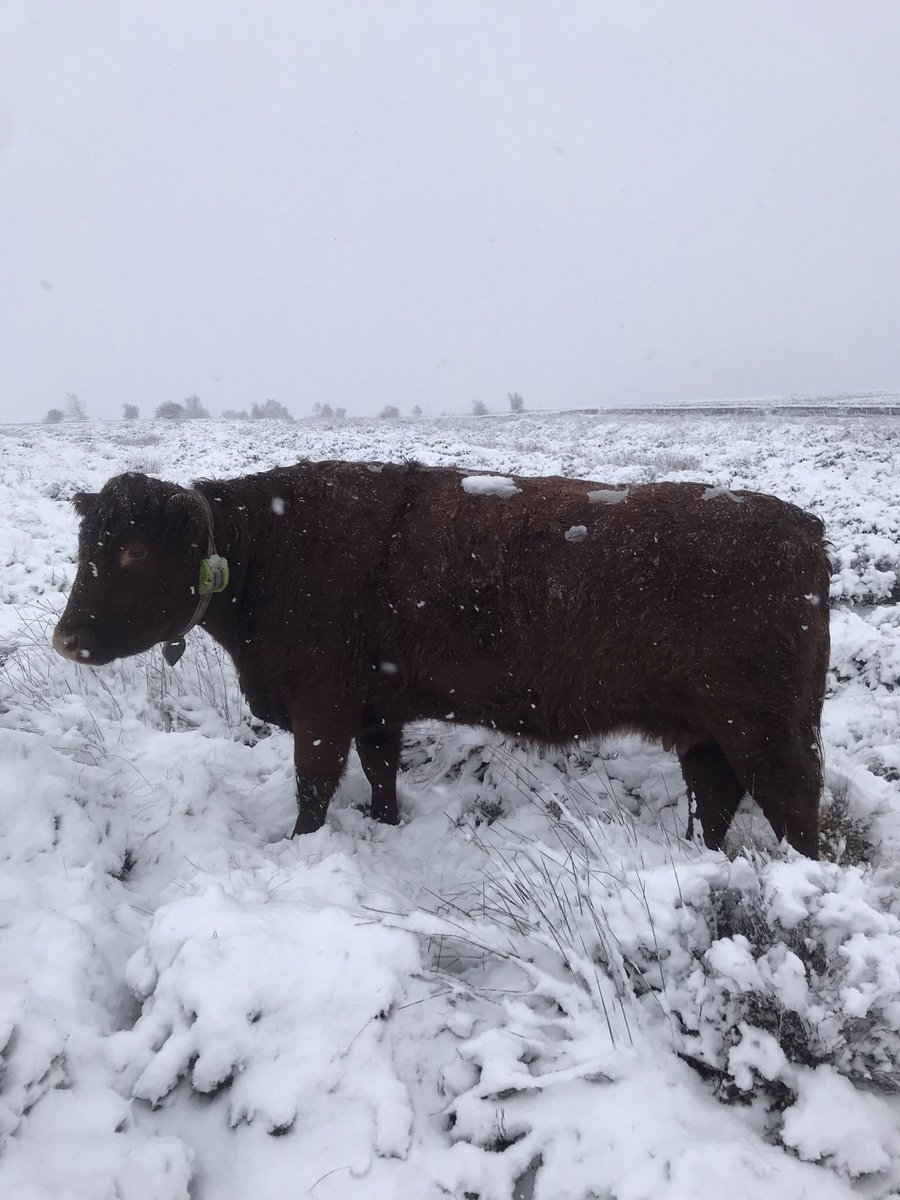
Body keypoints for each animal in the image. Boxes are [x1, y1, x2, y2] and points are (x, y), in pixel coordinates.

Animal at [52, 462, 831, 856]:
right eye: (87, 544)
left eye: (132, 551)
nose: (65, 639)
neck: (268, 545)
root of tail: (803, 526)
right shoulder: (377, 709)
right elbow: (381, 773)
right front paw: (385, 827)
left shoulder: (322, 708)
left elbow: (314, 786)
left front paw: (300, 848)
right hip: (710, 736)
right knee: (717, 803)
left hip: (771, 736)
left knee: (793, 810)